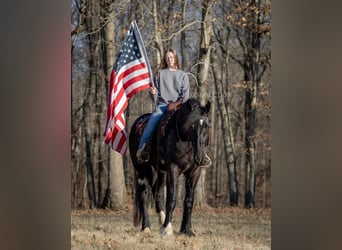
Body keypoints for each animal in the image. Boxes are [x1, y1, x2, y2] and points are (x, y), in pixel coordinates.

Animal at [129, 98, 211, 236]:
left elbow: (189, 201)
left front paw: (186, 230)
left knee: (157, 192)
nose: (200, 157)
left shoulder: (195, 172)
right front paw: (167, 228)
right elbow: (171, 199)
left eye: (207, 126)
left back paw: (161, 218)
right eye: (191, 126)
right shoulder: (173, 169)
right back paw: (146, 227)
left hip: (161, 172)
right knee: (144, 196)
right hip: (142, 169)